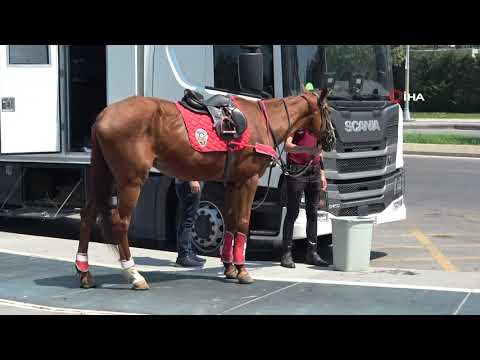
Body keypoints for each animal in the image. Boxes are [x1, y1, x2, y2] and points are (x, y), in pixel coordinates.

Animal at [76, 88, 334, 288]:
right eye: (328, 111)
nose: (331, 139)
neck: (262, 122)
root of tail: (103, 116)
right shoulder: (248, 181)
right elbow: (242, 223)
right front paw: (242, 270)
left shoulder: (231, 183)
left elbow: (230, 223)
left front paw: (229, 267)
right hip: (130, 180)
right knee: (120, 223)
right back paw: (133, 274)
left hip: (104, 176)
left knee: (88, 216)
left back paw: (85, 272)